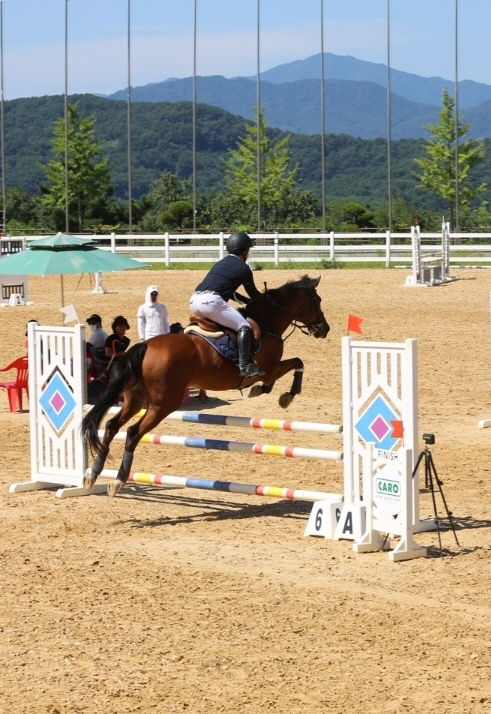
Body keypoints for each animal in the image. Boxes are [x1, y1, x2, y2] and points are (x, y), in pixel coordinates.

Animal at [82, 272, 330, 496]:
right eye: (317, 301)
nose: (324, 329)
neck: (268, 322)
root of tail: (144, 347)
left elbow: (291, 367)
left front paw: (264, 392)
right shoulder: (270, 370)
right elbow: (294, 365)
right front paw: (283, 396)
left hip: (135, 399)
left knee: (111, 426)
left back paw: (92, 474)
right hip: (163, 405)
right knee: (133, 432)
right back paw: (118, 480)